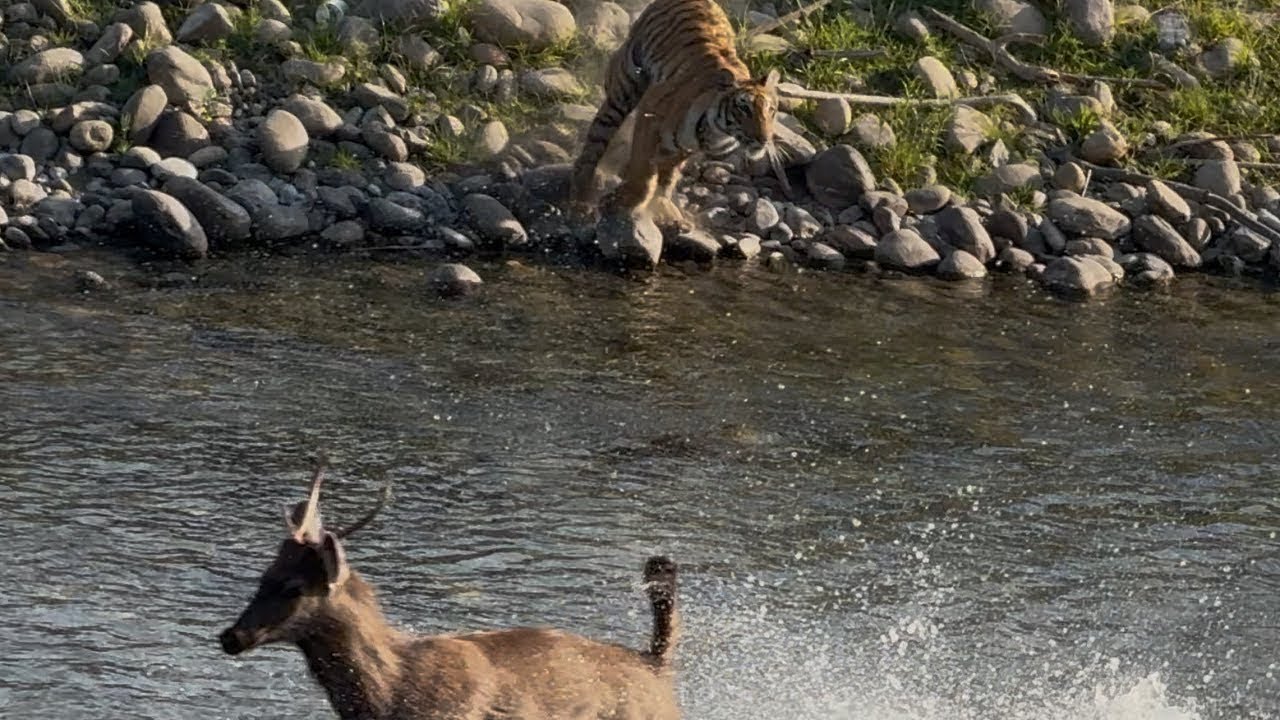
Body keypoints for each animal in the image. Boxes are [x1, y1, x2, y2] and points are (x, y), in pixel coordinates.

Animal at [569, 0, 782, 229]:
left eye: (771, 110)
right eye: (744, 108)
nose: (764, 139)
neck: (718, 131)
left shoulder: (685, 147)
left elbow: (668, 174)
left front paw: (661, 205)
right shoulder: (650, 115)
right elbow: (644, 170)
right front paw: (627, 200)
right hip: (624, 88)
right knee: (596, 139)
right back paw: (582, 192)